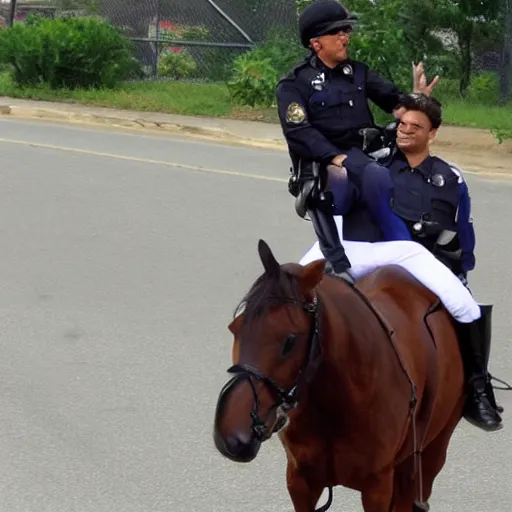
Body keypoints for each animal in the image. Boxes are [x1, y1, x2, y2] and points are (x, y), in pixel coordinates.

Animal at [210, 240, 466, 512]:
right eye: (234, 328)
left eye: (290, 340)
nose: (231, 434)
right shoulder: (300, 480)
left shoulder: (378, 486)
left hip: (431, 451)